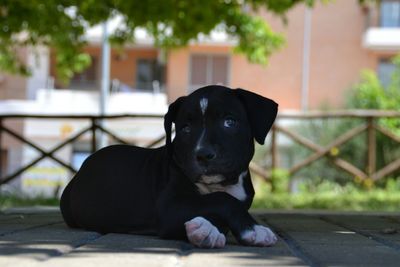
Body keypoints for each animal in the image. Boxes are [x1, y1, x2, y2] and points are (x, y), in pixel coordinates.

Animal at [60, 86, 278, 249]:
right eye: (185, 128)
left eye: (230, 122)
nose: (203, 154)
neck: (222, 184)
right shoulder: (171, 207)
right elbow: (221, 200)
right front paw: (252, 230)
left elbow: (219, 205)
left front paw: (208, 229)